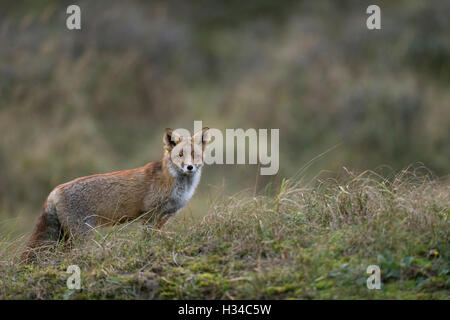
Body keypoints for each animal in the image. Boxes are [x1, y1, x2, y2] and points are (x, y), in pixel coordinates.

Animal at [21, 127, 209, 262]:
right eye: (180, 155)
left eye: (195, 155)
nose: (189, 167)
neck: (177, 186)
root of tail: (54, 190)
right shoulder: (150, 215)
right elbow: (147, 239)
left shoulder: (165, 217)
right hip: (82, 236)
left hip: (68, 236)